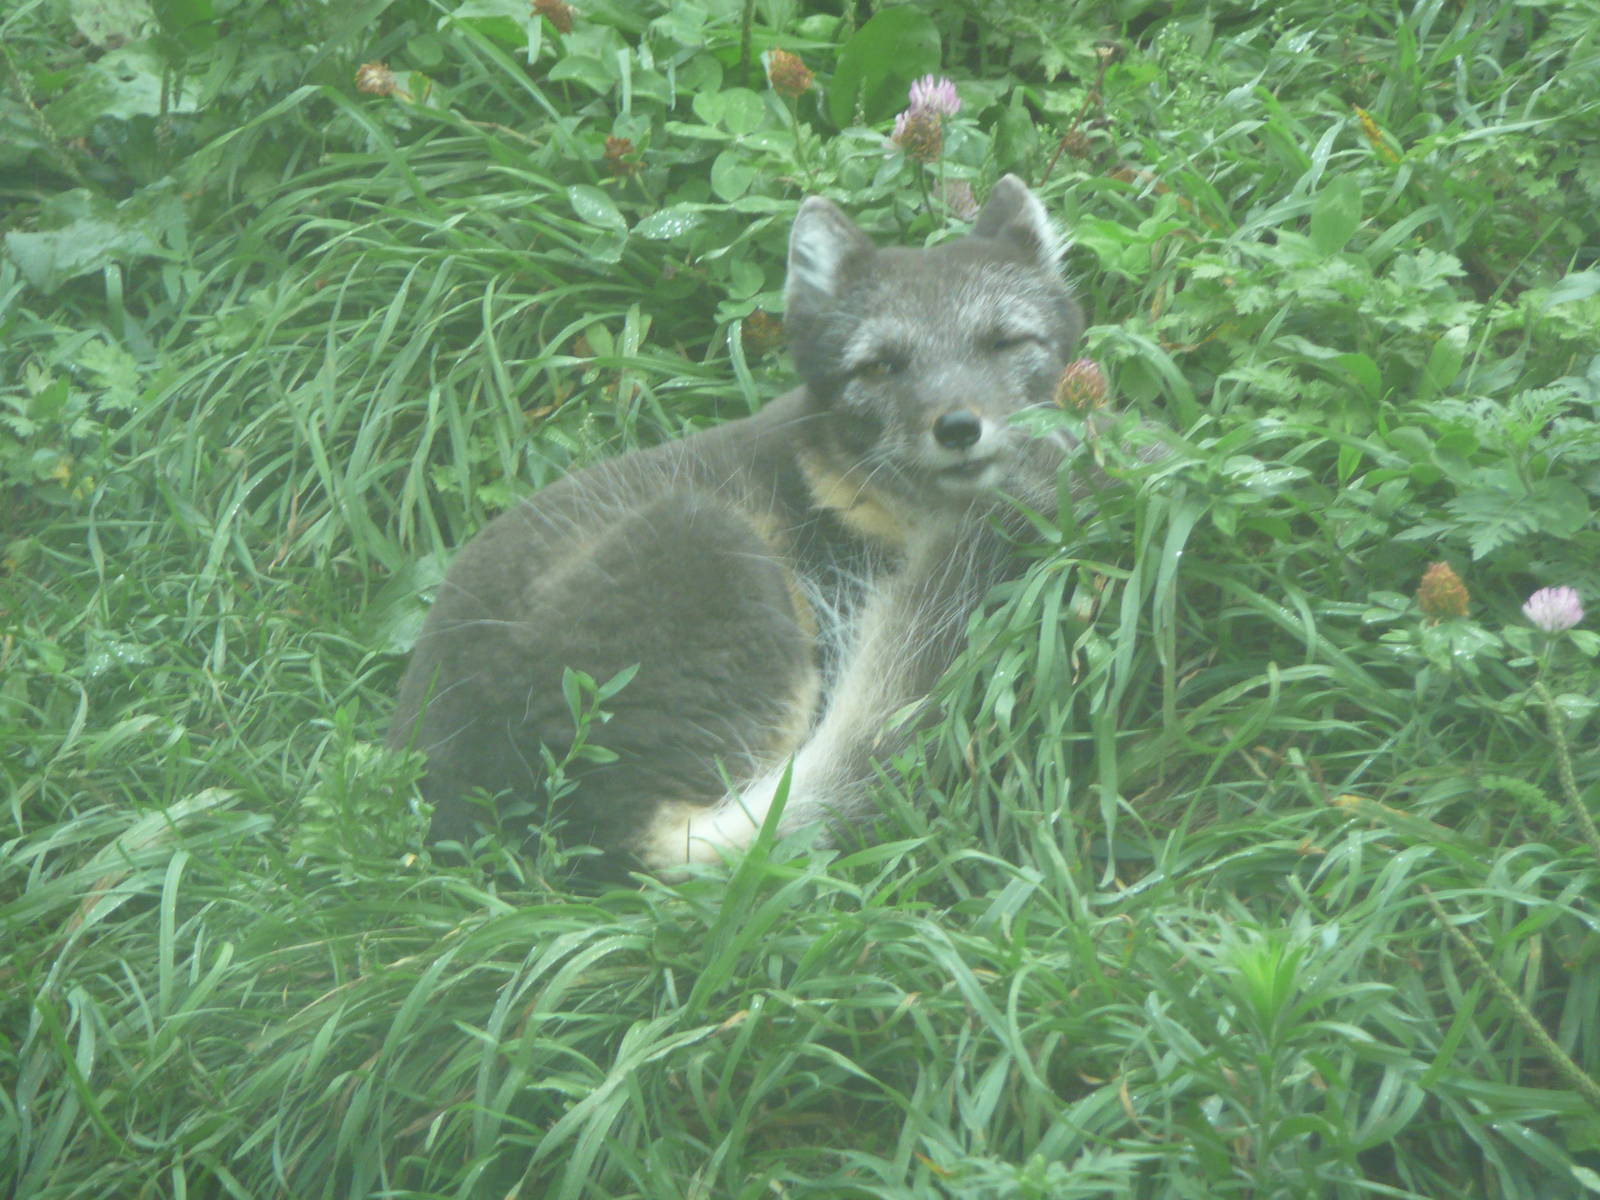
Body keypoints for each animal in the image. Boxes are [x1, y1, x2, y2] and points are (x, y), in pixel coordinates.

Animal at [389, 175, 1098, 873]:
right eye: (879, 366)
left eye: (1005, 341)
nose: (957, 427)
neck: (845, 481)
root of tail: (575, 819)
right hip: (714, 543)